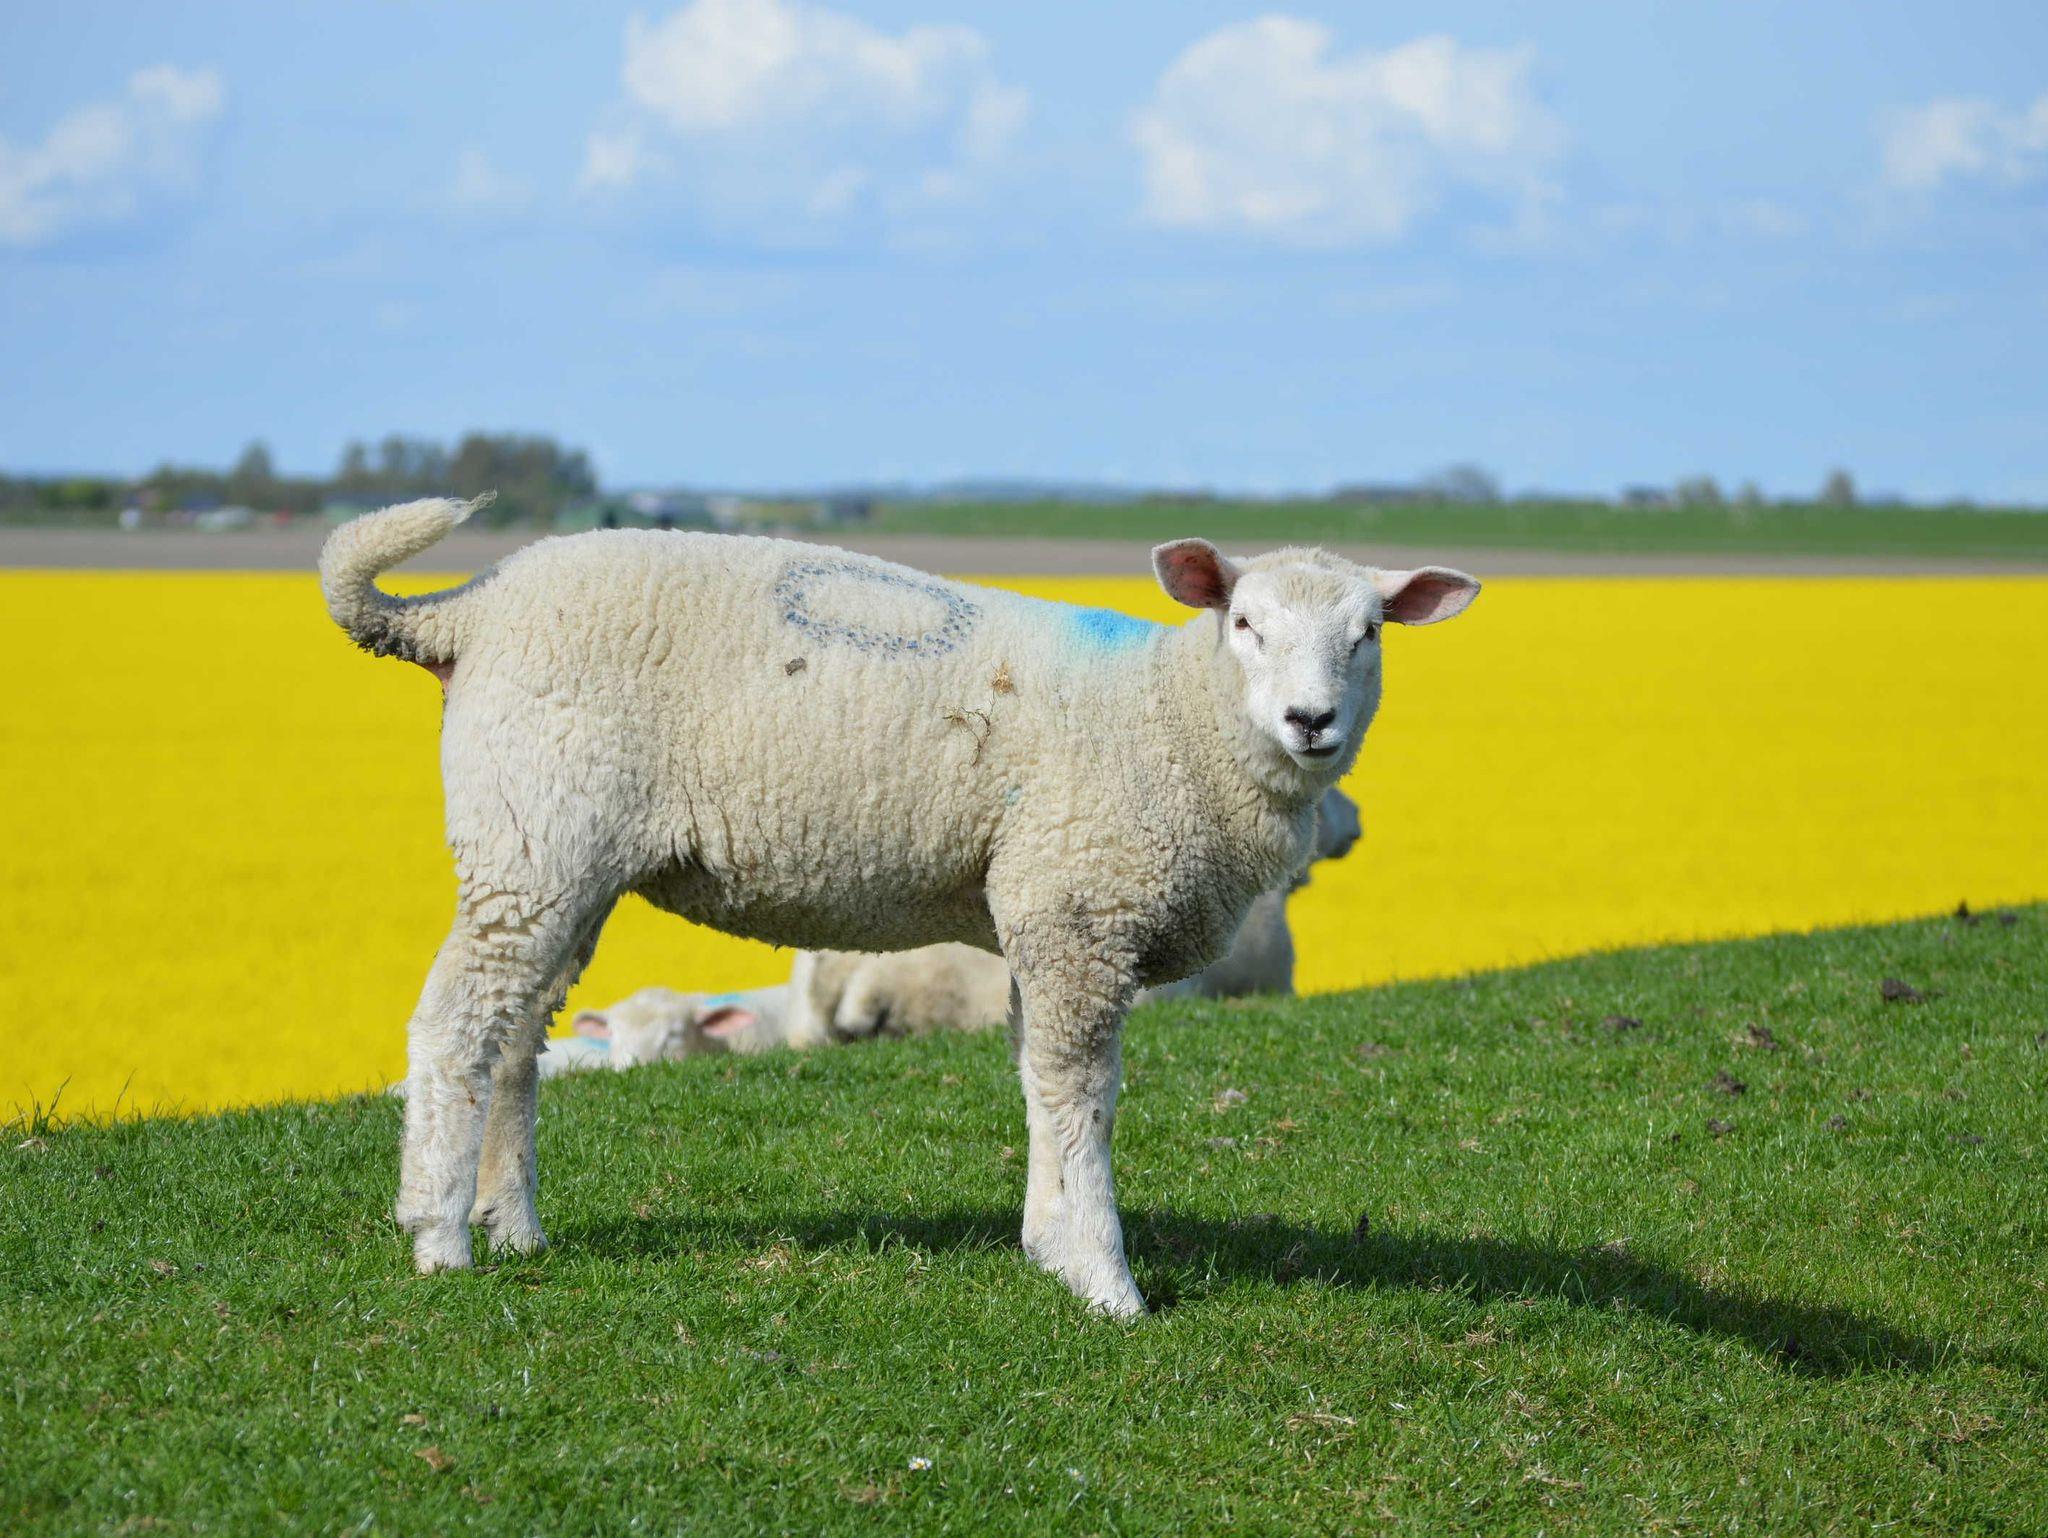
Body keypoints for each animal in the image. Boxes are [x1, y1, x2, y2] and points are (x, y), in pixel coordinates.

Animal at [321, 497, 1478, 1315]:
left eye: (1370, 633)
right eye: (1242, 622)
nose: (1310, 720)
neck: (1167, 717)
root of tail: (470, 606)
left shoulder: (1036, 914)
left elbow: (1037, 1084)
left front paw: (1046, 1244)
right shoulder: (1078, 911)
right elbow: (1082, 1095)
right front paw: (1104, 1278)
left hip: (564, 856)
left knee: (517, 1033)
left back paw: (513, 1221)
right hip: (532, 829)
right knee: (454, 1026)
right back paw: (439, 1236)